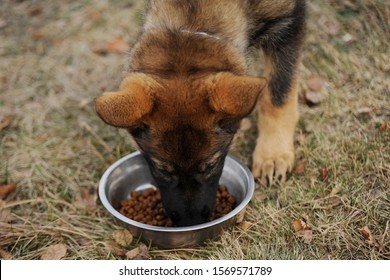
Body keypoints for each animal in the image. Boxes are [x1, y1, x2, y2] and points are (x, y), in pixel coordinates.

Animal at [96, 0, 306, 226]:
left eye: (210, 166)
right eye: (162, 170)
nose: (191, 222)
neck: (193, 15)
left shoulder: (289, 23)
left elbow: (278, 94)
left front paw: (273, 155)